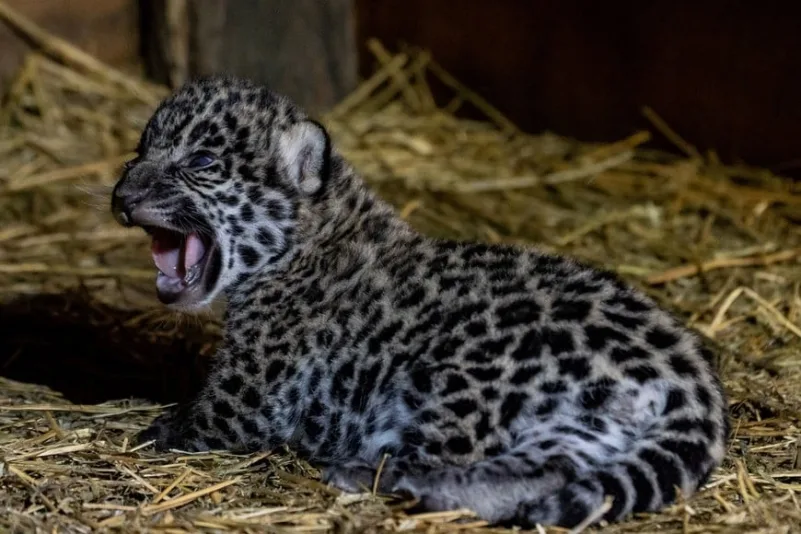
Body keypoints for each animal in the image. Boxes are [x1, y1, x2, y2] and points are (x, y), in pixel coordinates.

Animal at [110, 74, 730, 529]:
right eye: (138, 153)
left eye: (201, 163)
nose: (122, 197)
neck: (309, 238)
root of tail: (687, 372)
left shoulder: (249, 397)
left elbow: (195, 421)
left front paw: (148, 430)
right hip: (580, 426)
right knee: (547, 473)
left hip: (462, 376)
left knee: (452, 451)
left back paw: (366, 475)